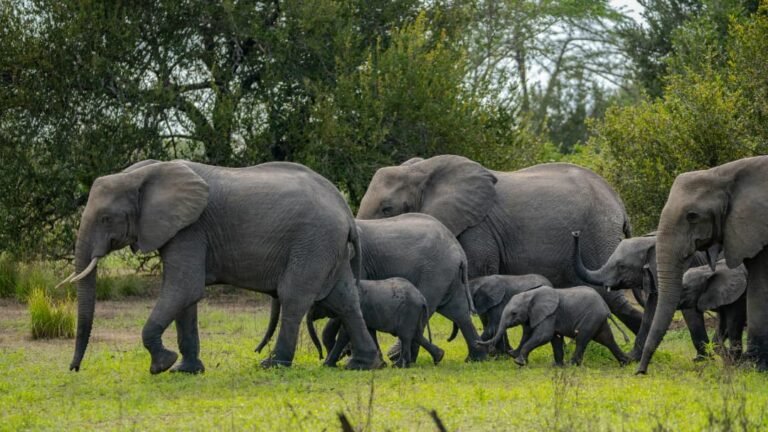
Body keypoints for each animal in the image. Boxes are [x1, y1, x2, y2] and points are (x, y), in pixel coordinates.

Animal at [56, 159, 381, 374]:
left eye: (106, 219)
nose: (74, 369)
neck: (143, 174)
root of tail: (344, 209)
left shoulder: (190, 229)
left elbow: (183, 288)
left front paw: (162, 364)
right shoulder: (181, 230)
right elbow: (185, 298)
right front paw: (185, 370)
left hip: (313, 242)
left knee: (294, 297)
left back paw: (272, 364)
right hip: (328, 248)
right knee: (344, 299)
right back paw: (363, 364)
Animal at [256, 213, 485, 362]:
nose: (257, 351)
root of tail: (459, 251)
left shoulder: (356, 265)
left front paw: (345, 355)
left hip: (436, 272)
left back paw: (405, 360)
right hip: (447, 275)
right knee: (459, 312)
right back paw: (475, 358)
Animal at [356, 155, 643, 334]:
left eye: (386, 208)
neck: (422, 170)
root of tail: (619, 205)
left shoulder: (477, 228)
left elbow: (478, 278)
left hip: (597, 234)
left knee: (609, 292)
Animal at [478, 286, 629, 366]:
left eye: (514, 313)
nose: (477, 342)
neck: (531, 294)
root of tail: (606, 307)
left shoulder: (550, 314)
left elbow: (543, 336)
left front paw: (519, 362)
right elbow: (553, 338)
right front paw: (556, 366)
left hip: (591, 317)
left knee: (582, 339)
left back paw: (571, 365)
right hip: (598, 319)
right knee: (607, 339)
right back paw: (626, 363)